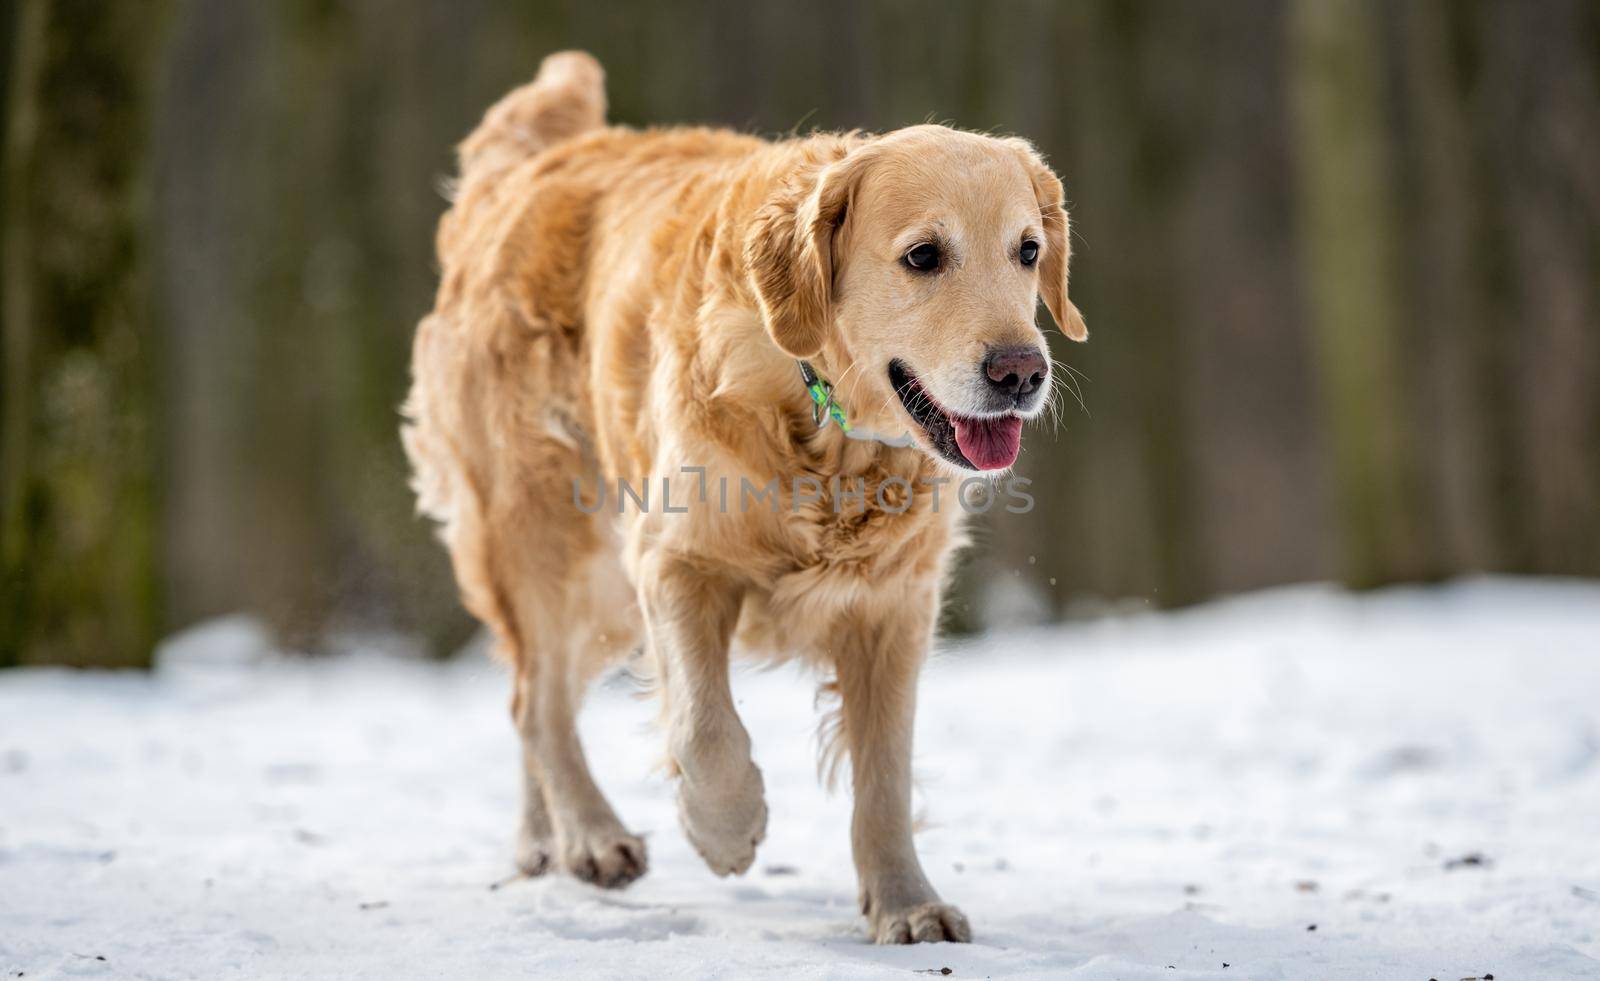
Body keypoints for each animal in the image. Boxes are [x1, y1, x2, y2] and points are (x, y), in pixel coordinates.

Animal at [403, 51, 1088, 940]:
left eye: (1028, 250)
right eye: (924, 256)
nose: (1020, 371)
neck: (824, 418)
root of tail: (525, 169)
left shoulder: (894, 605)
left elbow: (885, 772)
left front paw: (907, 903)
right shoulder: (674, 557)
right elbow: (705, 725)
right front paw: (725, 829)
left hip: (602, 591)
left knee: (532, 693)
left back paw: (542, 842)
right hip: (548, 538)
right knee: (537, 701)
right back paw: (592, 836)